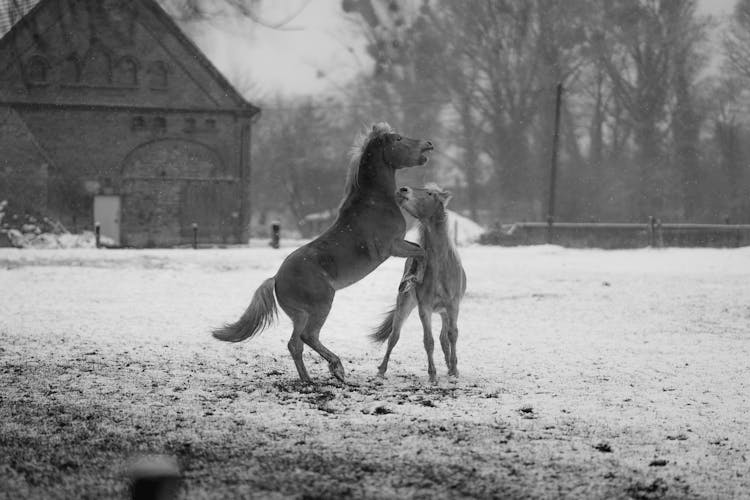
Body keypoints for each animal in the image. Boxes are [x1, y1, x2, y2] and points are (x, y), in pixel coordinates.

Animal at [212, 123, 434, 384]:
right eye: (398, 139)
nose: (428, 144)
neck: (375, 202)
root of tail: (276, 279)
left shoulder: (399, 244)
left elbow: (419, 250)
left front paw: (409, 280)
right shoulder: (392, 247)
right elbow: (422, 252)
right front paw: (413, 280)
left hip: (299, 315)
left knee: (295, 344)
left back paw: (308, 379)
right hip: (321, 305)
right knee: (308, 337)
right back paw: (336, 368)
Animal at [374, 184, 468, 382]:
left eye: (430, 193)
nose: (403, 190)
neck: (441, 266)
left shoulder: (453, 306)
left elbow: (452, 336)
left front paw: (454, 370)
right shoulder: (424, 308)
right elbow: (428, 341)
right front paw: (432, 375)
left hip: (444, 312)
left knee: (444, 338)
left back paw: (449, 367)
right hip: (405, 305)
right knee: (394, 337)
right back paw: (381, 370)